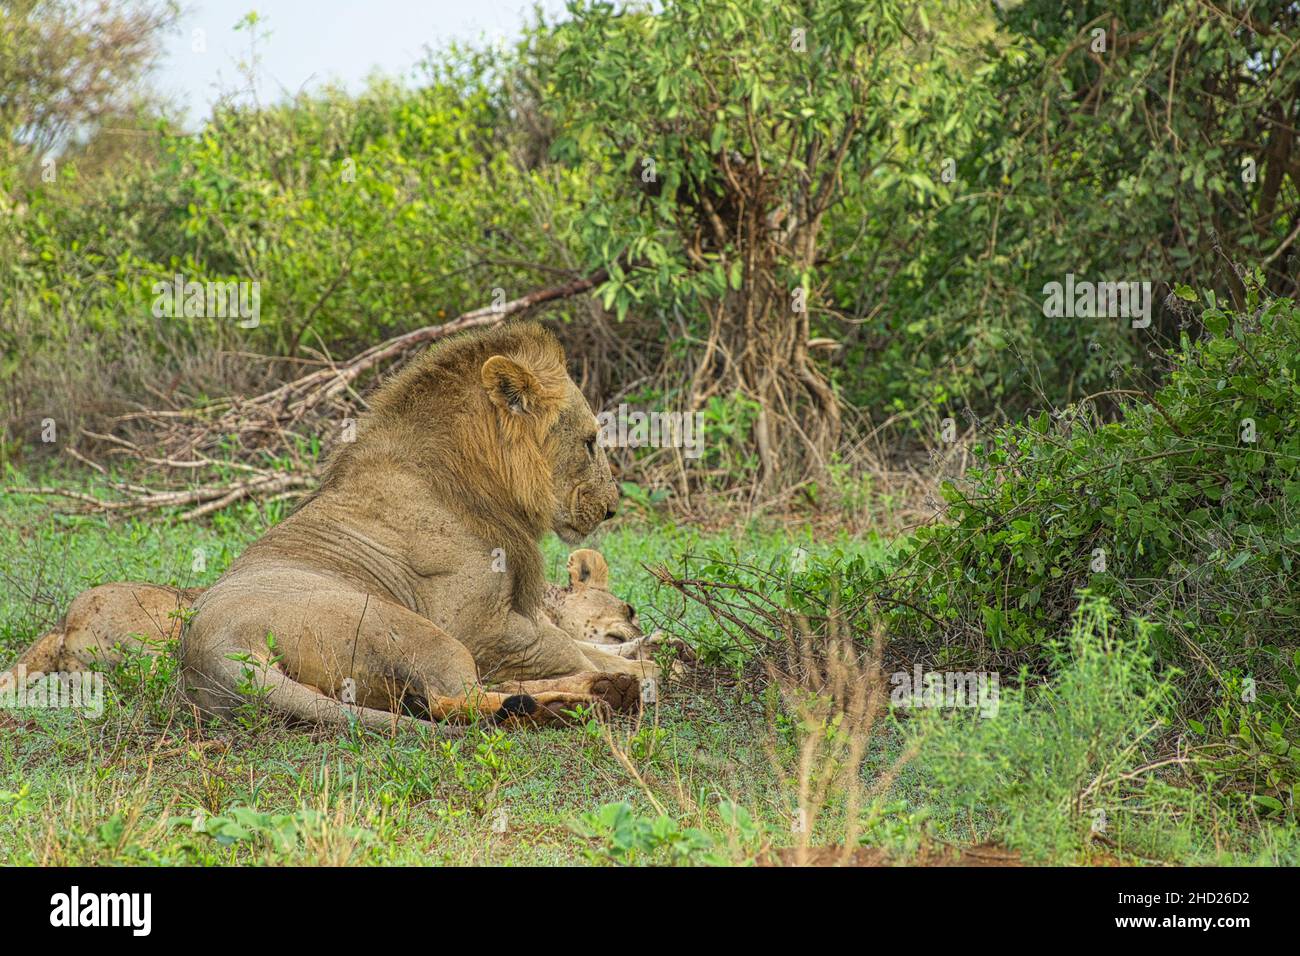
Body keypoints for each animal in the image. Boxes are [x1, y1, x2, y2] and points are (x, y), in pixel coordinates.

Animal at [5, 323, 664, 731]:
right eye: (591, 441)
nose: (612, 509)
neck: (479, 481)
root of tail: (210, 650)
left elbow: (585, 644)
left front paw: (642, 657)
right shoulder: (483, 629)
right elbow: (571, 648)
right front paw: (639, 669)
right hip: (417, 630)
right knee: (455, 700)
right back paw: (585, 702)